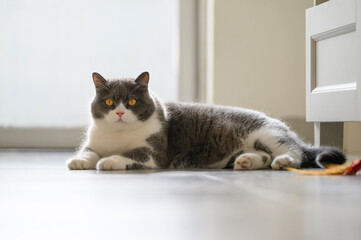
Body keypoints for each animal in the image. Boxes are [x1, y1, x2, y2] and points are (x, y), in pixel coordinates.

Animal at [66, 71, 344, 171]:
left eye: (132, 102)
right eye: (109, 103)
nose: (120, 113)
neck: (118, 136)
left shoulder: (155, 152)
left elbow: (131, 154)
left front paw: (108, 161)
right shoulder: (95, 142)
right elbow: (89, 151)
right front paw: (79, 161)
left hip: (267, 133)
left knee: (296, 152)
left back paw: (283, 161)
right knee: (264, 156)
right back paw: (247, 161)